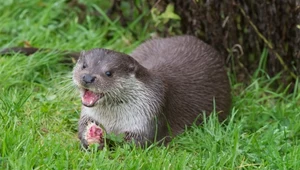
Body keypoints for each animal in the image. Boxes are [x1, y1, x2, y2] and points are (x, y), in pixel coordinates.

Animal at [71, 35, 231, 148]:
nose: (88, 77)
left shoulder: (148, 116)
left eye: (109, 73)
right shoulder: (88, 114)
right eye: (84, 65)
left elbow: (137, 142)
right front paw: (90, 136)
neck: (113, 119)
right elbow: (81, 127)